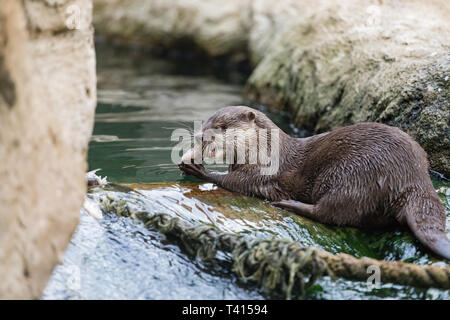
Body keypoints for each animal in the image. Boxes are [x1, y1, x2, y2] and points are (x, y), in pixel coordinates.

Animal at [179, 105, 450, 260]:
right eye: (205, 122)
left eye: (221, 127)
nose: (200, 135)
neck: (265, 150)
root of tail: (413, 179)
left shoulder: (263, 175)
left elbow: (236, 182)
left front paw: (197, 169)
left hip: (351, 174)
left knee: (332, 212)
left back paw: (290, 205)